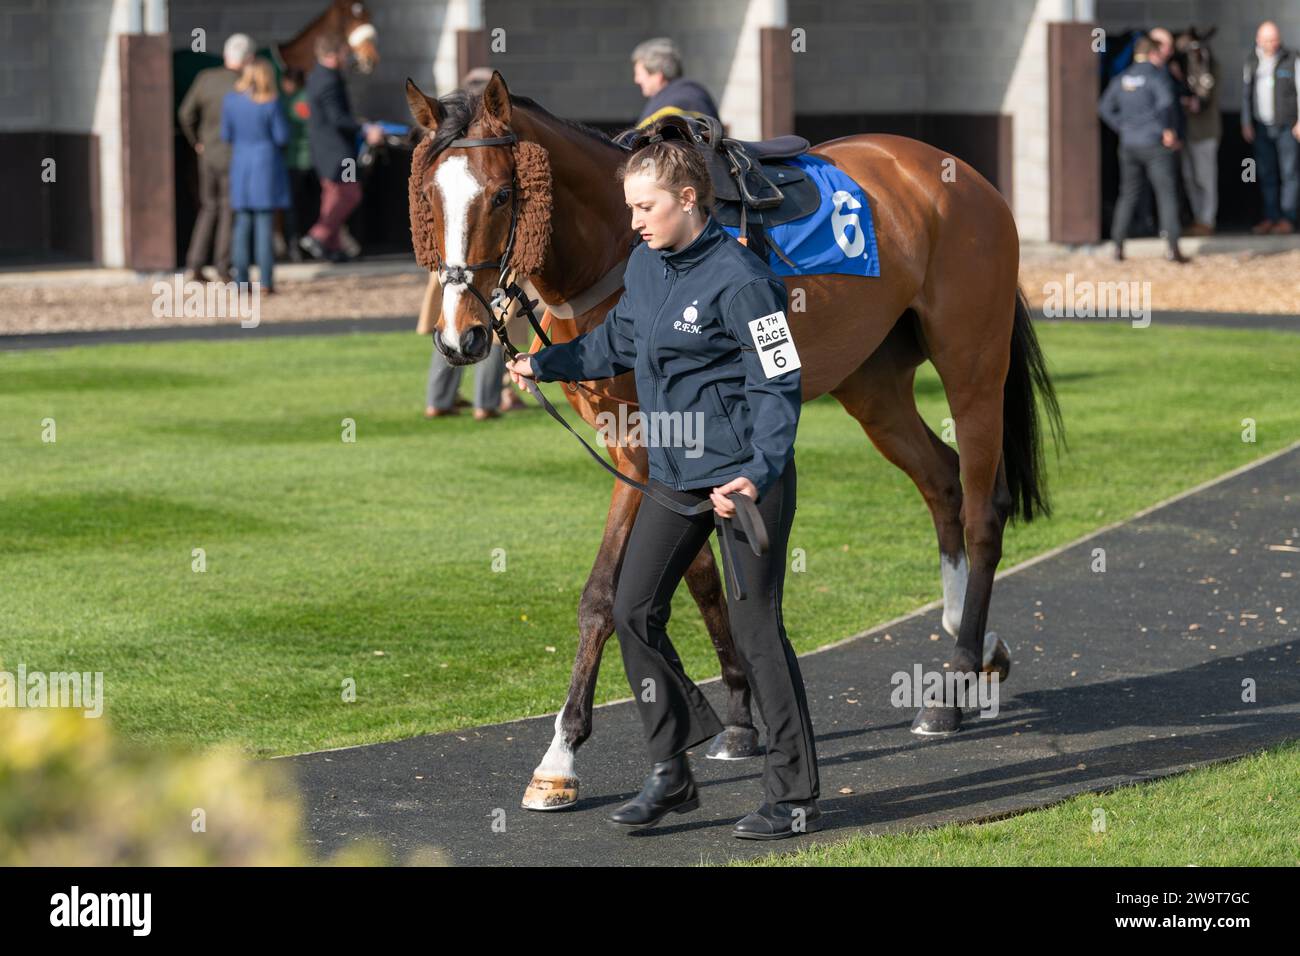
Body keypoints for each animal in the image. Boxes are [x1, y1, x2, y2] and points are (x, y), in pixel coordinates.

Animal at [400, 70, 1060, 811]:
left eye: (503, 195)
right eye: (427, 199)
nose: (460, 336)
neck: (624, 246)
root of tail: (959, 174)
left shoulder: (644, 442)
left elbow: (602, 595)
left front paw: (561, 754)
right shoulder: (651, 447)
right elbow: (700, 579)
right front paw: (740, 718)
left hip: (971, 358)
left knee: (981, 510)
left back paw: (952, 682)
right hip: (874, 383)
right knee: (941, 480)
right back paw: (974, 643)